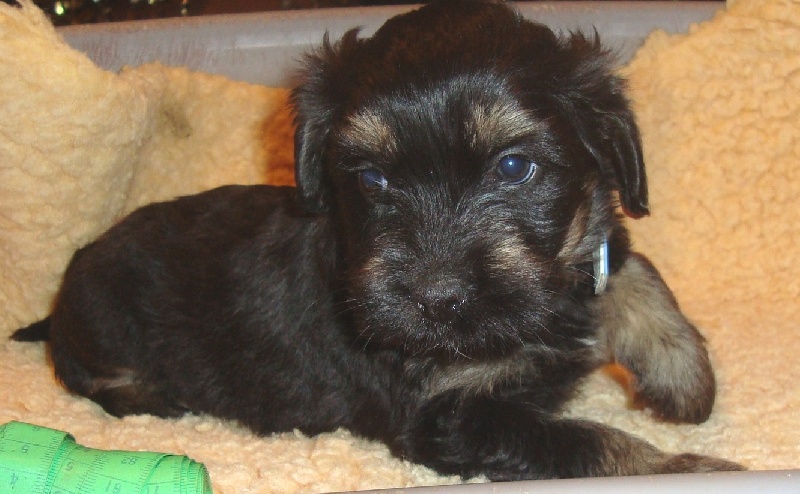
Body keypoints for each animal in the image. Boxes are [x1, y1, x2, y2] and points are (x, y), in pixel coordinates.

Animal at [12, 0, 740, 478]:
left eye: (514, 168)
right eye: (372, 178)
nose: (438, 300)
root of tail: (63, 295)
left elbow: (628, 263)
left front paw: (681, 373)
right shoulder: (448, 417)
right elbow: (583, 442)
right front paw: (687, 466)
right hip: (100, 327)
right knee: (92, 379)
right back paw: (152, 397)